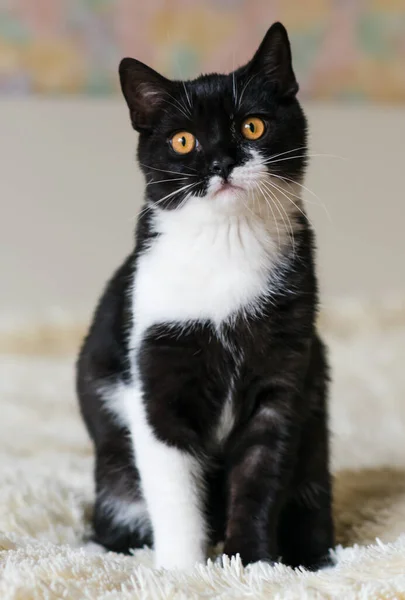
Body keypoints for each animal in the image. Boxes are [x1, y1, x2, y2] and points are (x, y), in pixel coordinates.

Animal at [76, 21, 334, 568]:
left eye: (253, 127)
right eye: (182, 140)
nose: (221, 161)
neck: (226, 245)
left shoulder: (284, 376)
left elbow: (261, 476)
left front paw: (251, 563)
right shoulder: (155, 372)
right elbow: (174, 485)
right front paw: (183, 570)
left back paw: (312, 554)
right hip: (114, 478)